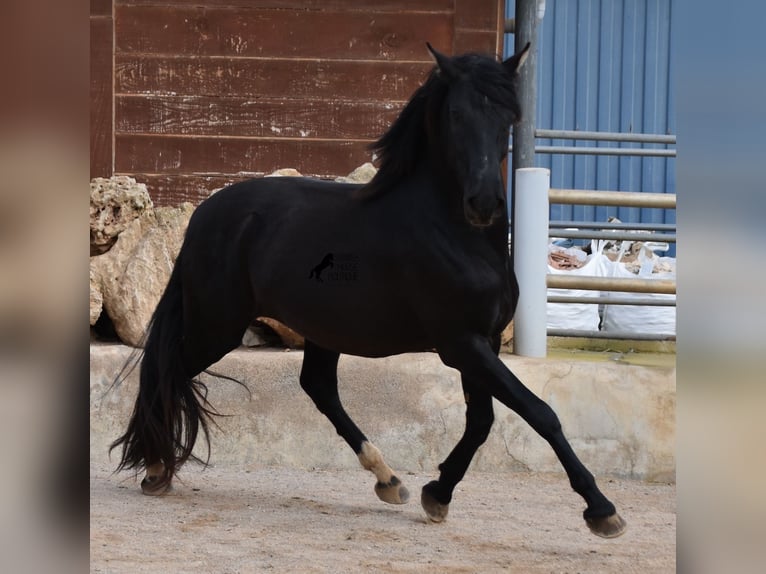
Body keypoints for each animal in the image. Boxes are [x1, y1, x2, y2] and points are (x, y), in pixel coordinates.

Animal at [111, 44, 628, 540]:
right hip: (217, 326)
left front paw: (437, 494)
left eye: (509, 116)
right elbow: (541, 413)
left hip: (320, 328)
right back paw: (155, 468)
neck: (455, 235)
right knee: (166, 372)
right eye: (456, 114)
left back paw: (388, 479)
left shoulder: (480, 344)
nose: (483, 204)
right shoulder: (461, 344)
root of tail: (205, 213)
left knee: (318, 387)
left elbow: (481, 423)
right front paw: (602, 511)